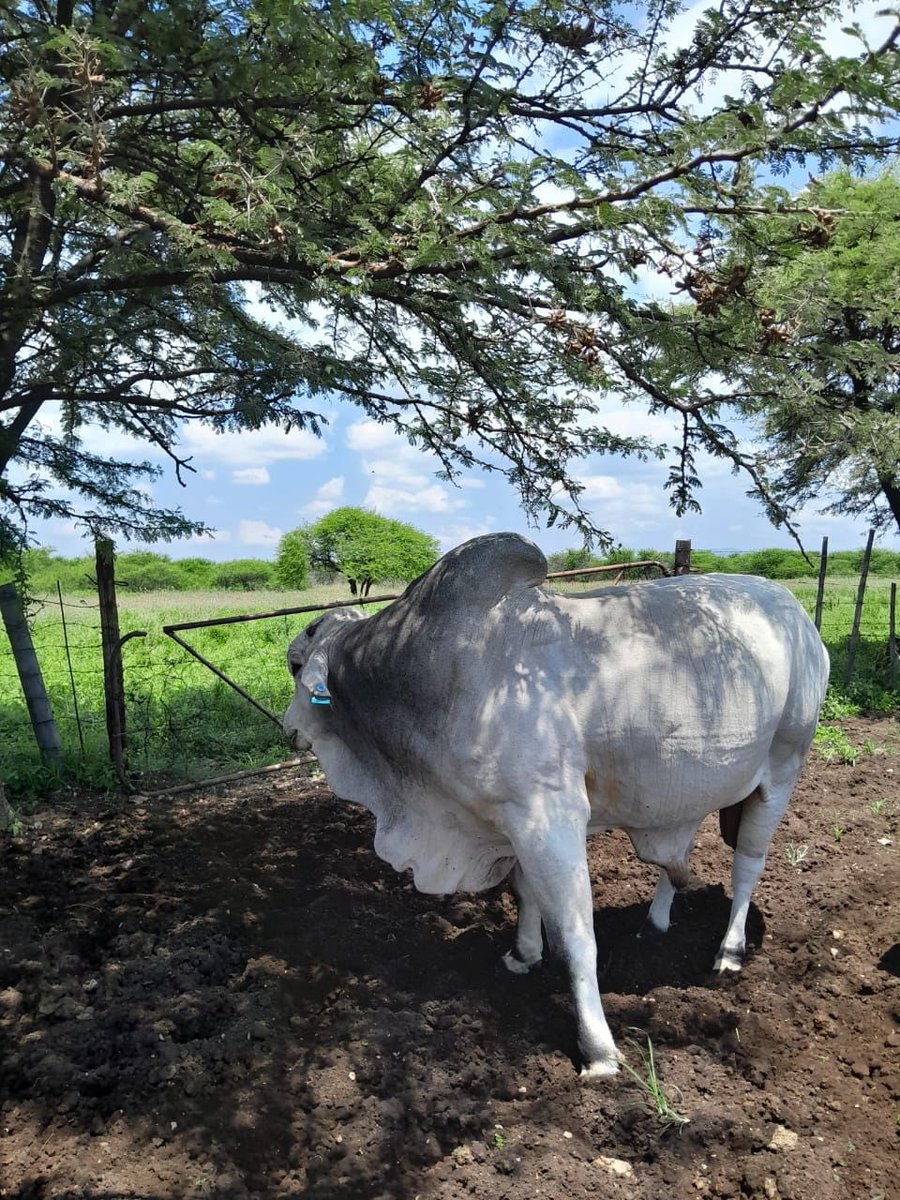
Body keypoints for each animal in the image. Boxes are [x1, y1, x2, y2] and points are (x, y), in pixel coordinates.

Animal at [283, 533, 829, 1081]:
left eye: (294, 664)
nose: (287, 730)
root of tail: (798, 614)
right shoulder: (511, 822)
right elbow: (523, 893)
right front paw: (523, 955)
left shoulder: (548, 817)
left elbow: (574, 938)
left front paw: (598, 1051)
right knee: (676, 861)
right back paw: (655, 922)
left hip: (782, 770)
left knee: (747, 868)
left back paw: (729, 952)